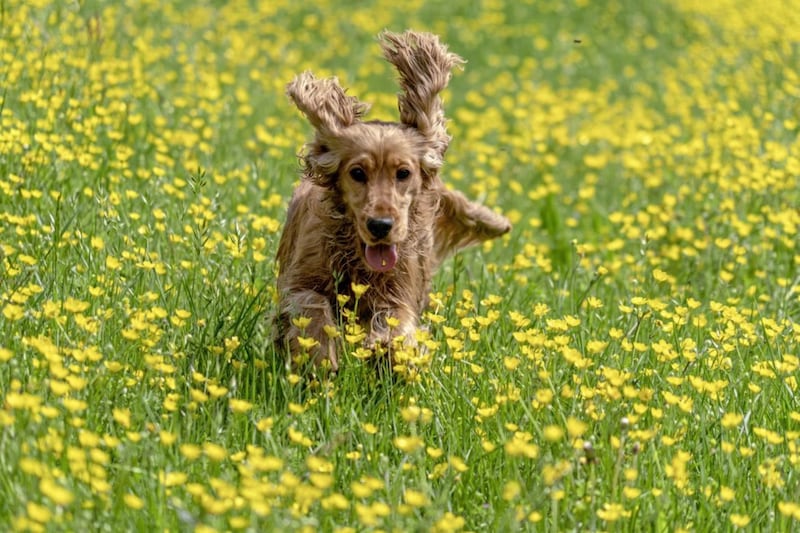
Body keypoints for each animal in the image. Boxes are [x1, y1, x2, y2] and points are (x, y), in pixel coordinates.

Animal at [276, 29, 512, 370]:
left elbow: (398, 323)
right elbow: (311, 305)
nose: (380, 225)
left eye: (403, 173)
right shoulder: (299, 280)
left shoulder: (400, 291)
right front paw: (319, 355)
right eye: (357, 172)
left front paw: (390, 350)